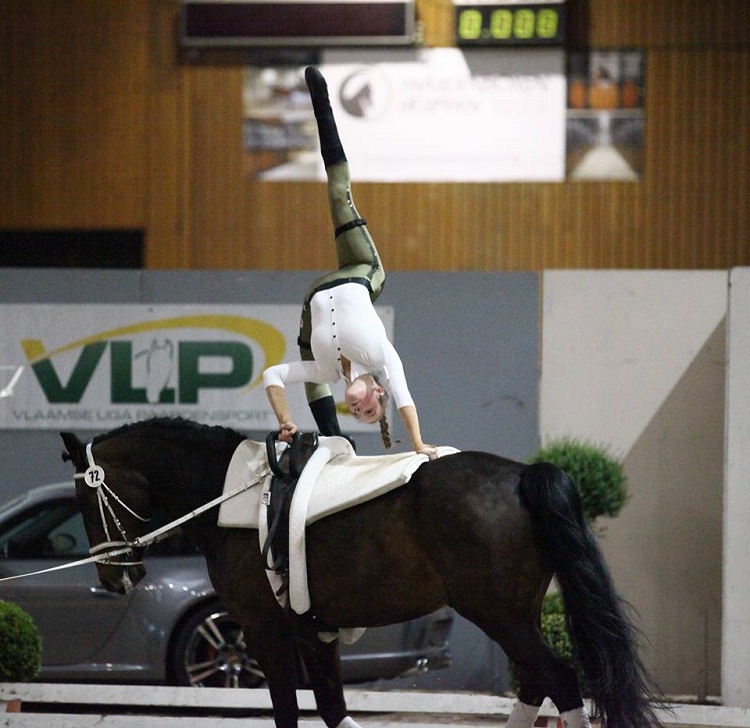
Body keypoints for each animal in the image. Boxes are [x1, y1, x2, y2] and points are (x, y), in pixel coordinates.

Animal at [61, 416, 668, 728]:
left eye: (85, 498)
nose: (115, 579)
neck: (231, 493)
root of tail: (522, 477)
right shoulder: (316, 631)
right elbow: (333, 711)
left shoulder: (264, 630)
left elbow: (289, 715)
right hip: (516, 615)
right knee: (540, 684)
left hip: (501, 616)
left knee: (560, 682)